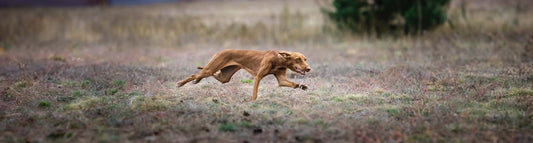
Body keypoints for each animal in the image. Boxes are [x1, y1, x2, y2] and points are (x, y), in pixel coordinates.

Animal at [178, 49, 312, 101]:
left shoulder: (282, 80)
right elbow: (255, 94)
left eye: (305, 59)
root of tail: (221, 51)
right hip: (211, 69)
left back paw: (198, 80)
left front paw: (303, 86)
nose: (308, 68)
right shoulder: (258, 77)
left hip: (224, 77)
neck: (279, 59)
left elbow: (294, 84)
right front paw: (253, 103)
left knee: (211, 75)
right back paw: (180, 83)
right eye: (298, 59)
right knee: (194, 74)